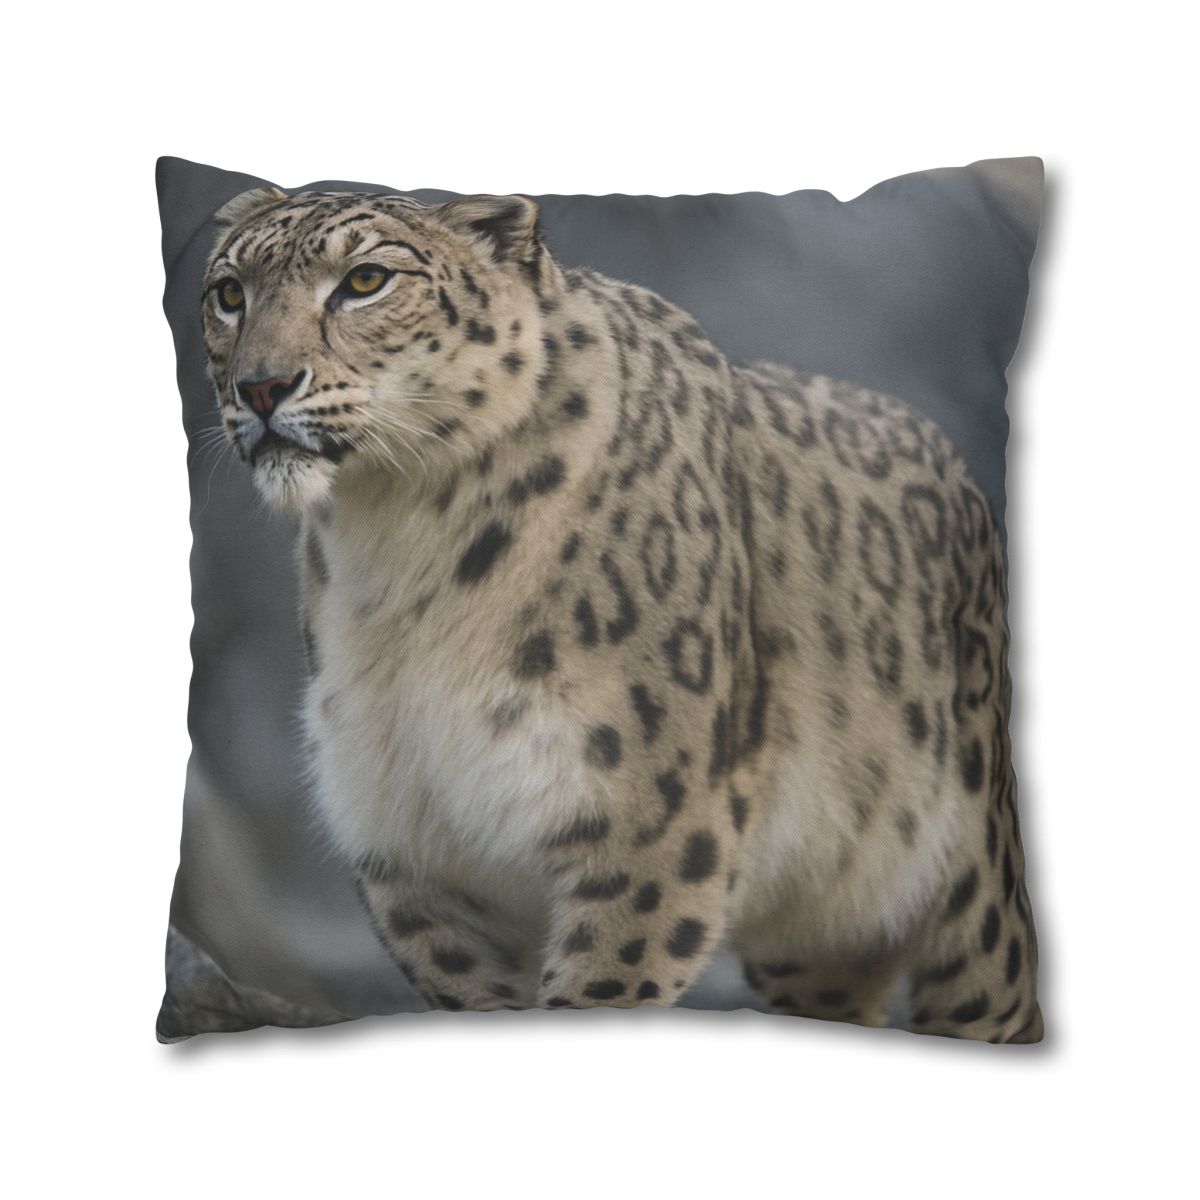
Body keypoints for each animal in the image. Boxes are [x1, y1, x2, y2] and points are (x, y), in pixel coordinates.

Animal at [200, 186, 1041, 1041]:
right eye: (229, 293)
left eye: (366, 280)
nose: (260, 387)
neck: (397, 546)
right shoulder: (413, 848)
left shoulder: (646, 825)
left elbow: (600, 987)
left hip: (977, 900)